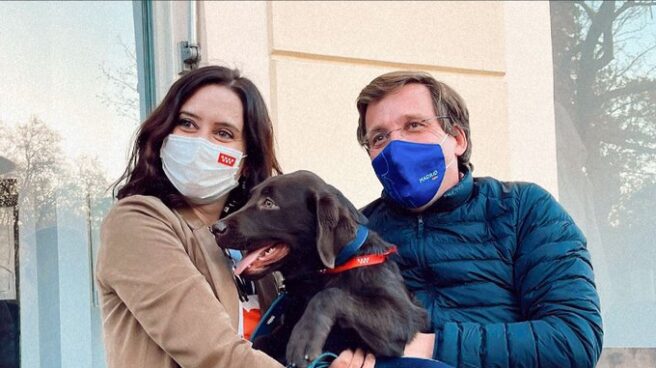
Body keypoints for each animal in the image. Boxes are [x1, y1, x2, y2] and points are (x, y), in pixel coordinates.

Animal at [210, 171, 426, 366]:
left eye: (269, 203)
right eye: (249, 199)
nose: (215, 228)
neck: (322, 274)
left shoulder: (405, 317)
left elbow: (329, 295)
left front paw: (304, 337)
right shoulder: (281, 329)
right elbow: (260, 342)